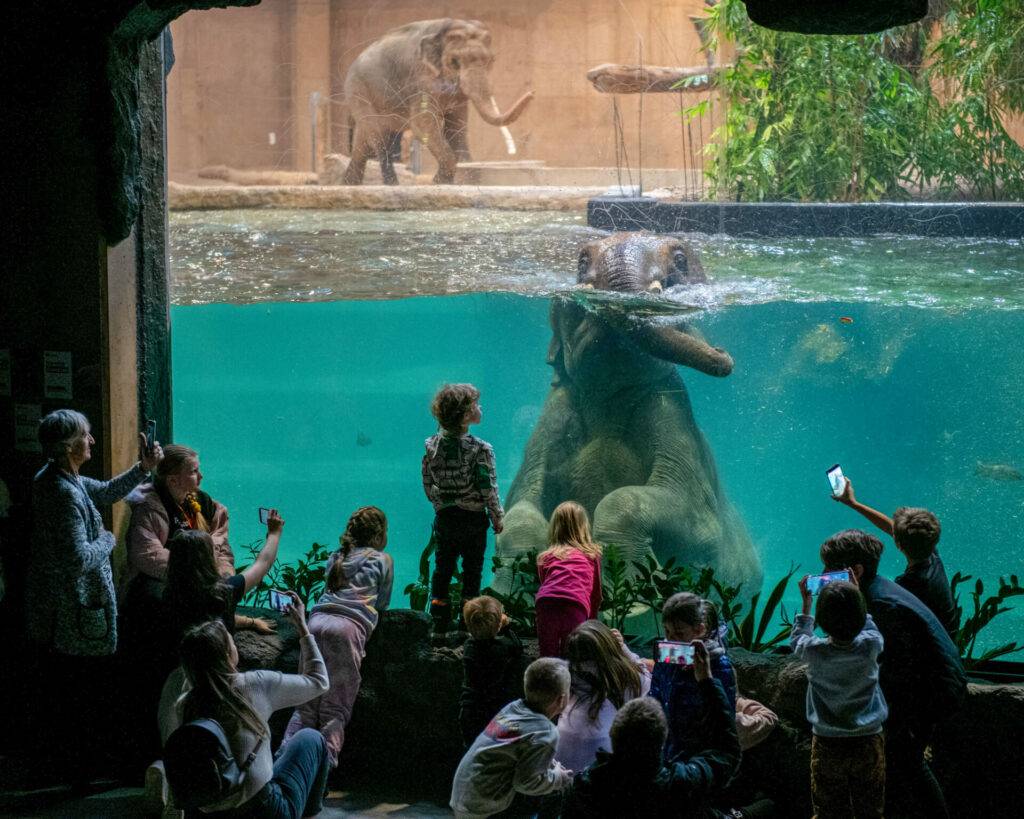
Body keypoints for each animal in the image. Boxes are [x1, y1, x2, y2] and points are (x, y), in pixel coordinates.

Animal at [346, 18, 536, 185]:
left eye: (491, 60)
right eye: (455, 62)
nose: (532, 93)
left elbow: (457, 127)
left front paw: (462, 181)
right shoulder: (421, 77)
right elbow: (423, 123)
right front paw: (439, 182)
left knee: (364, 141)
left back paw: (349, 183)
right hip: (359, 91)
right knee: (379, 136)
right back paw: (392, 185)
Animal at [495, 233, 761, 593]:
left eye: (680, 260)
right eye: (581, 262)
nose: (721, 353)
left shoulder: (673, 417)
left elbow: (672, 507)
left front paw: (634, 588)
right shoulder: (549, 425)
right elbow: (520, 509)